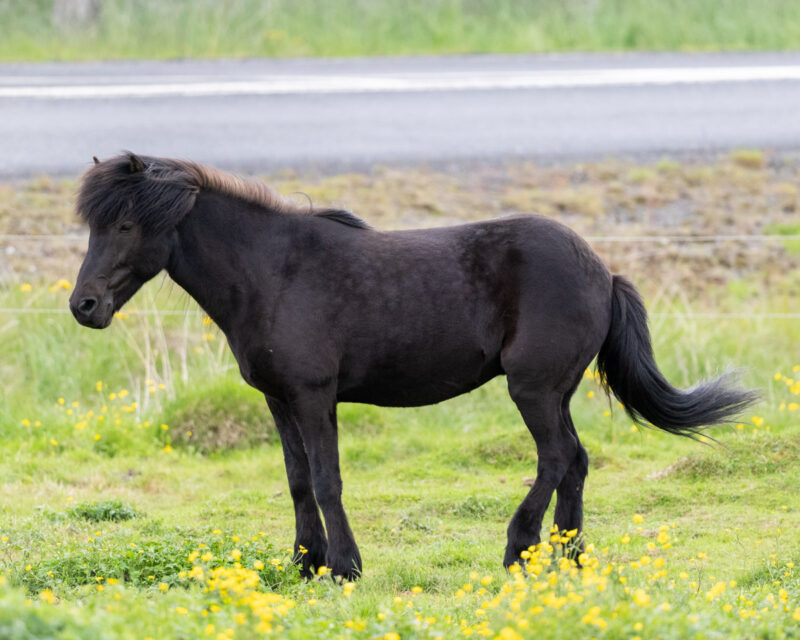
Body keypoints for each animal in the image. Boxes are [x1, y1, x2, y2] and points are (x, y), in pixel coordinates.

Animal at [70, 153, 757, 580]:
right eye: (92, 227)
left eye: (125, 224)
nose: (85, 306)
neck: (274, 272)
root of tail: (603, 270)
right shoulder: (279, 399)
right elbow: (297, 480)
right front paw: (303, 562)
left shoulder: (315, 396)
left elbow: (327, 480)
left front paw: (343, 567)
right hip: (555, 391)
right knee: (577, 462)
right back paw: (570, 556)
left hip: (533, 390)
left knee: (557, 457)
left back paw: (520, 548)